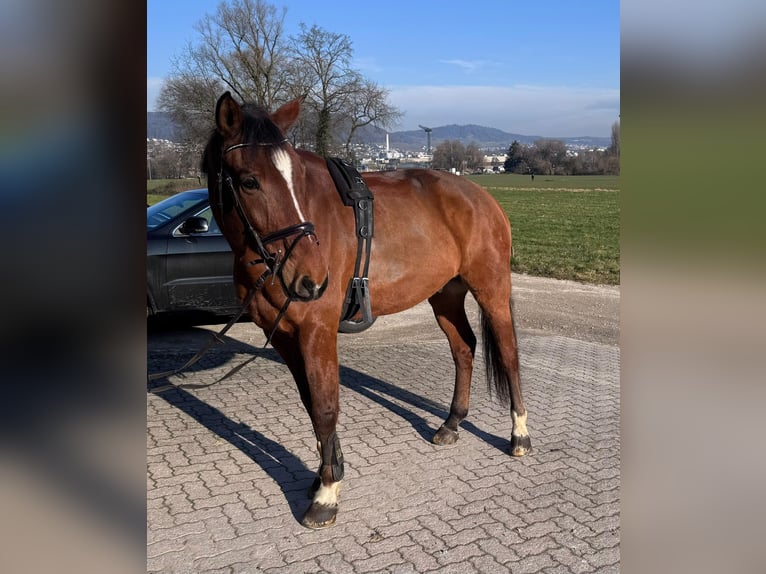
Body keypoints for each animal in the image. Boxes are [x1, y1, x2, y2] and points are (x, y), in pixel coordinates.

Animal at [201, 91, 532, 532]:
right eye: (249, 181)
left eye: (297, 180)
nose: (312, 279)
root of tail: (480, 197)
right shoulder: (286, 335)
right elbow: (310, 404)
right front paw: (326, 473)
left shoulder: (317, 330)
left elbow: (325, 406)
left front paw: (326, 494)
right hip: (444, 295)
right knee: (464, 348)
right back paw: (451, 423)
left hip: (491, 290)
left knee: (509, 354)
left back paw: (519, 434)